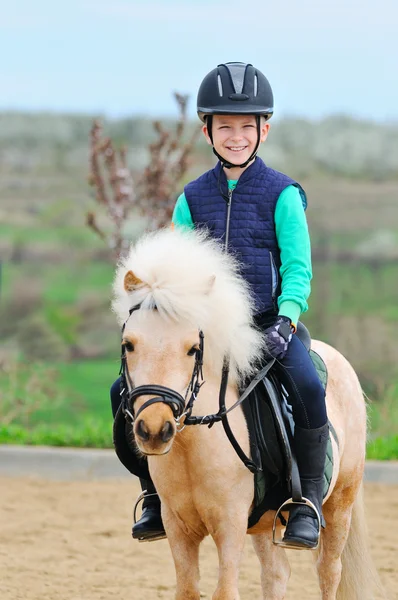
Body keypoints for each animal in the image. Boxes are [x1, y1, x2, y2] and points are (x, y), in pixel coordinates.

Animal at [112, 226, 380, 600]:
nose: (154, 429)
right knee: (276, 573)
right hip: (267, 521)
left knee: (329, 572)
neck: (192, 447)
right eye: (129, 345)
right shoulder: (178, 526)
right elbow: (187, 590)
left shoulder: (231, 524)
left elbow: (225, 591)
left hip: (340, 503)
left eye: (192, 348)